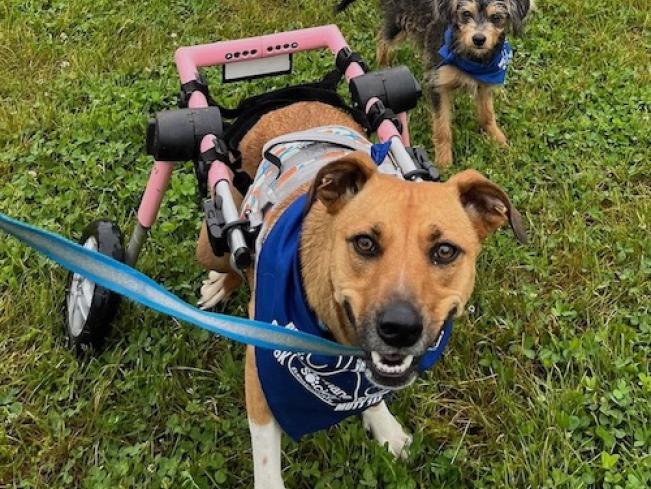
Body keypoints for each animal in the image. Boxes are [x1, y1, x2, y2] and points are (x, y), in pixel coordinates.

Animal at [196, 101, 528, 486]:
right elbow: (266, 463)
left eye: (445, 251)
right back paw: (222, 282)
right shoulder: (260, 375)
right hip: (212, 241)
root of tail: (288, 102)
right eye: (365, 243)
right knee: (236, 256)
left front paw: (385, 427)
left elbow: (369, 392)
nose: (400, 329)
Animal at [338, 0, 532, 167]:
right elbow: (442, 127)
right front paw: (444, 162)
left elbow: (487, 114)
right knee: (383, 40)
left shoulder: (484, 82)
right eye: (466, 14)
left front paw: (498, 139)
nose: (478, 39)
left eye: (496, 17)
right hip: (398, 21)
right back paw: (383, 67)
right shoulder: (438, 84)